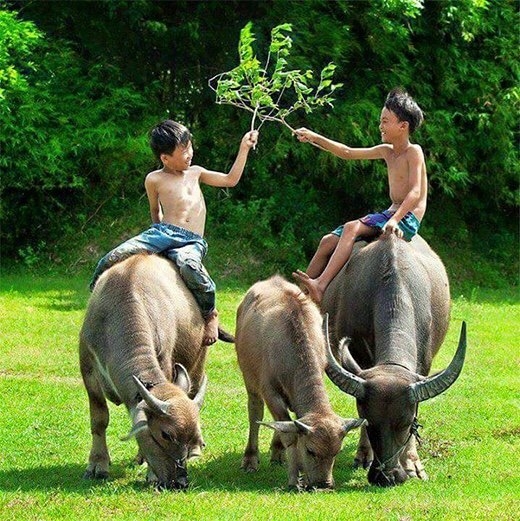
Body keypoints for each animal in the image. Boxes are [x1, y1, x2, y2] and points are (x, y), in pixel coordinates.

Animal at [79, 254, 225, 490]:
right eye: (165, 434)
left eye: (193, 436)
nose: (180, 482)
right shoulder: (88, 369)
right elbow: (99, 419)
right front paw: (97, 465)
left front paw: (151, 473)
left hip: (198, 360)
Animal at [234, 274, 364, 490]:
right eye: (311, 450)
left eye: (336, 452)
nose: (323, 484)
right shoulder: (270, 392)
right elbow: (289, 433)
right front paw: (294, 478)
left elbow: (288, 426)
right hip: (250, 379)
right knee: (255, 413)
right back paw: (250, 458)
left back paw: (277, 454)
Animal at [320, 234, 468, 486]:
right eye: (369, 421)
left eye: (406, 424)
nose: (385, 476)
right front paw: (363, 455)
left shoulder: (423, 366)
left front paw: (412, 465)